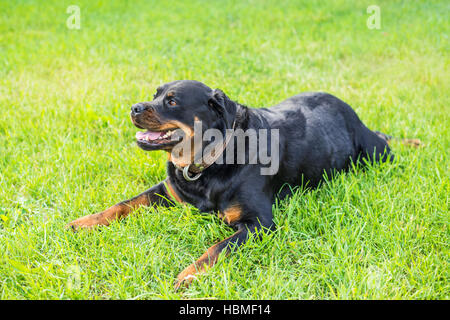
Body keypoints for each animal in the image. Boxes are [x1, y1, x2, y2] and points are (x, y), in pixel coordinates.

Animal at [67, 80, 394, 290]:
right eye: (155, 94)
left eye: (172, 101)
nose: (134, 107)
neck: (208, 161)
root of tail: (351, 112)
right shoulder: (168, 190)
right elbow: (123, 204)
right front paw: (85, 222)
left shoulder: (258, 224)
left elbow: (216, 249)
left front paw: (188, 275)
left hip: (375, 152)